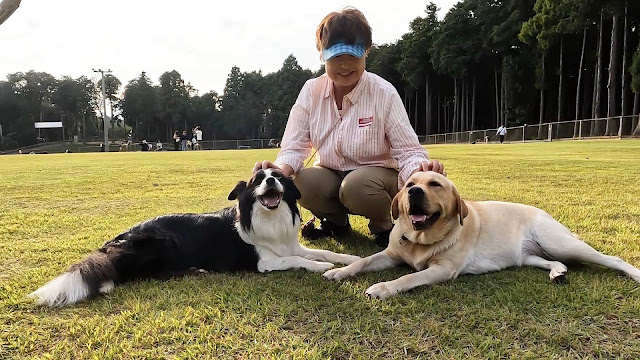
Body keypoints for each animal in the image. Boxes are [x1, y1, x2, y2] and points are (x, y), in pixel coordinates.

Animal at [30, 169, 360, 306]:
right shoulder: (264, 263)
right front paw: (322, 268)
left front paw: (348, 259)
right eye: (257, 181)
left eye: (277, 177)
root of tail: (118, 239)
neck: (269, 217)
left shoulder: (290, 244)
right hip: (161, 243)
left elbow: (321, 252)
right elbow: (296, 260)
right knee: (147, 274)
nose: (269, 180)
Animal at [324, 172, 640, 298]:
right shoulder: (391, 254)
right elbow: (363, 261)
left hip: (559, 242)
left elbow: (408, 278)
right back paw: (557, 273)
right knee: (553, 262)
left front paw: (383, 288)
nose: (414, 192)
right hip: (530, 256)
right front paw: (339, 272)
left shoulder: (442, 269)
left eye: (435, 184)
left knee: (610, 258)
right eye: (410, 183)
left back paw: (634, 273)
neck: (421, 241)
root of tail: (543, 212)